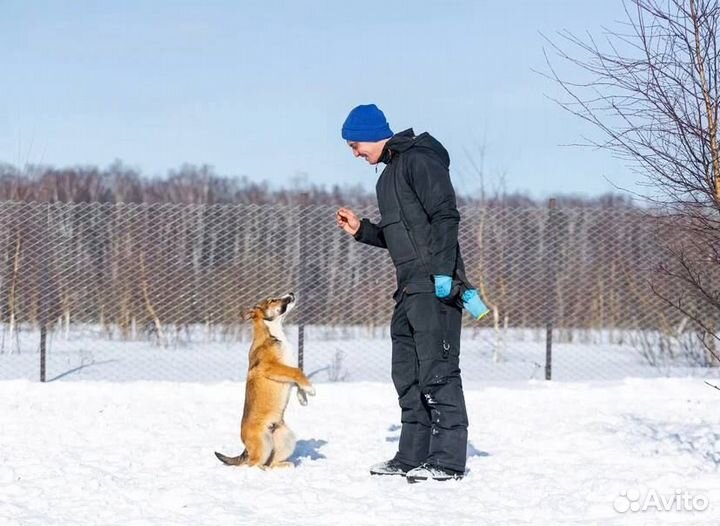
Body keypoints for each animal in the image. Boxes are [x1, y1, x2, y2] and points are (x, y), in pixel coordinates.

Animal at [214, 292, 316, 470]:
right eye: (272, 300)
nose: (291, 293)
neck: (273, 333)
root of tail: (246, 448)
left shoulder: (286, 368)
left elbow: (297, 377)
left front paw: (303, 398)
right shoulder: (271, 367)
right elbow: (297, 372)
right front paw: (310, 389)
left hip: (286, 439)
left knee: (271, 462)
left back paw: (284, 466)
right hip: (264, 443)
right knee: (252, 464)